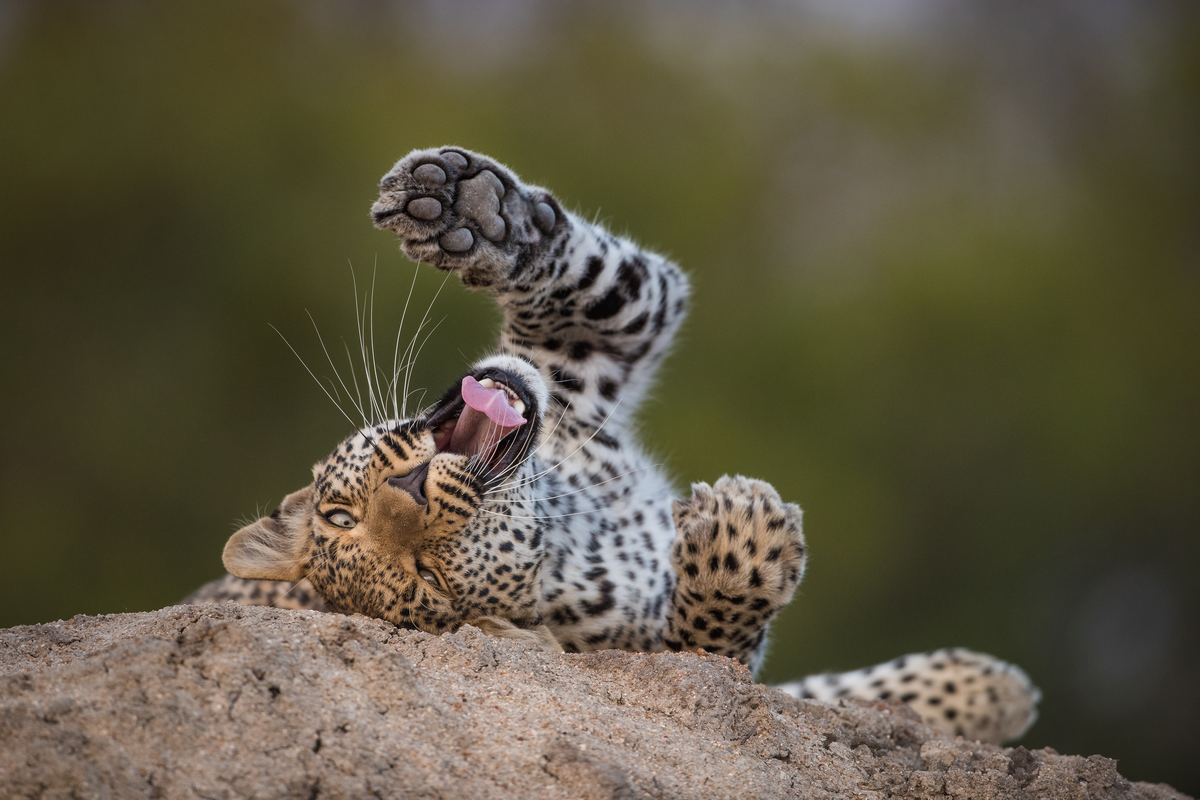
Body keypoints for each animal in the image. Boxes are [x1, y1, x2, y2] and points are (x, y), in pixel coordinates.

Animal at [186, 146, 1039, 745]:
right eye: (427, 579)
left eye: (339, 513)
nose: (410, 491)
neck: (571, 511)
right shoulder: (649, 651)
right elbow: (715, 644)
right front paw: (740, 538)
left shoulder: (589, 345)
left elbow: (579, 275)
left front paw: (470, 207)